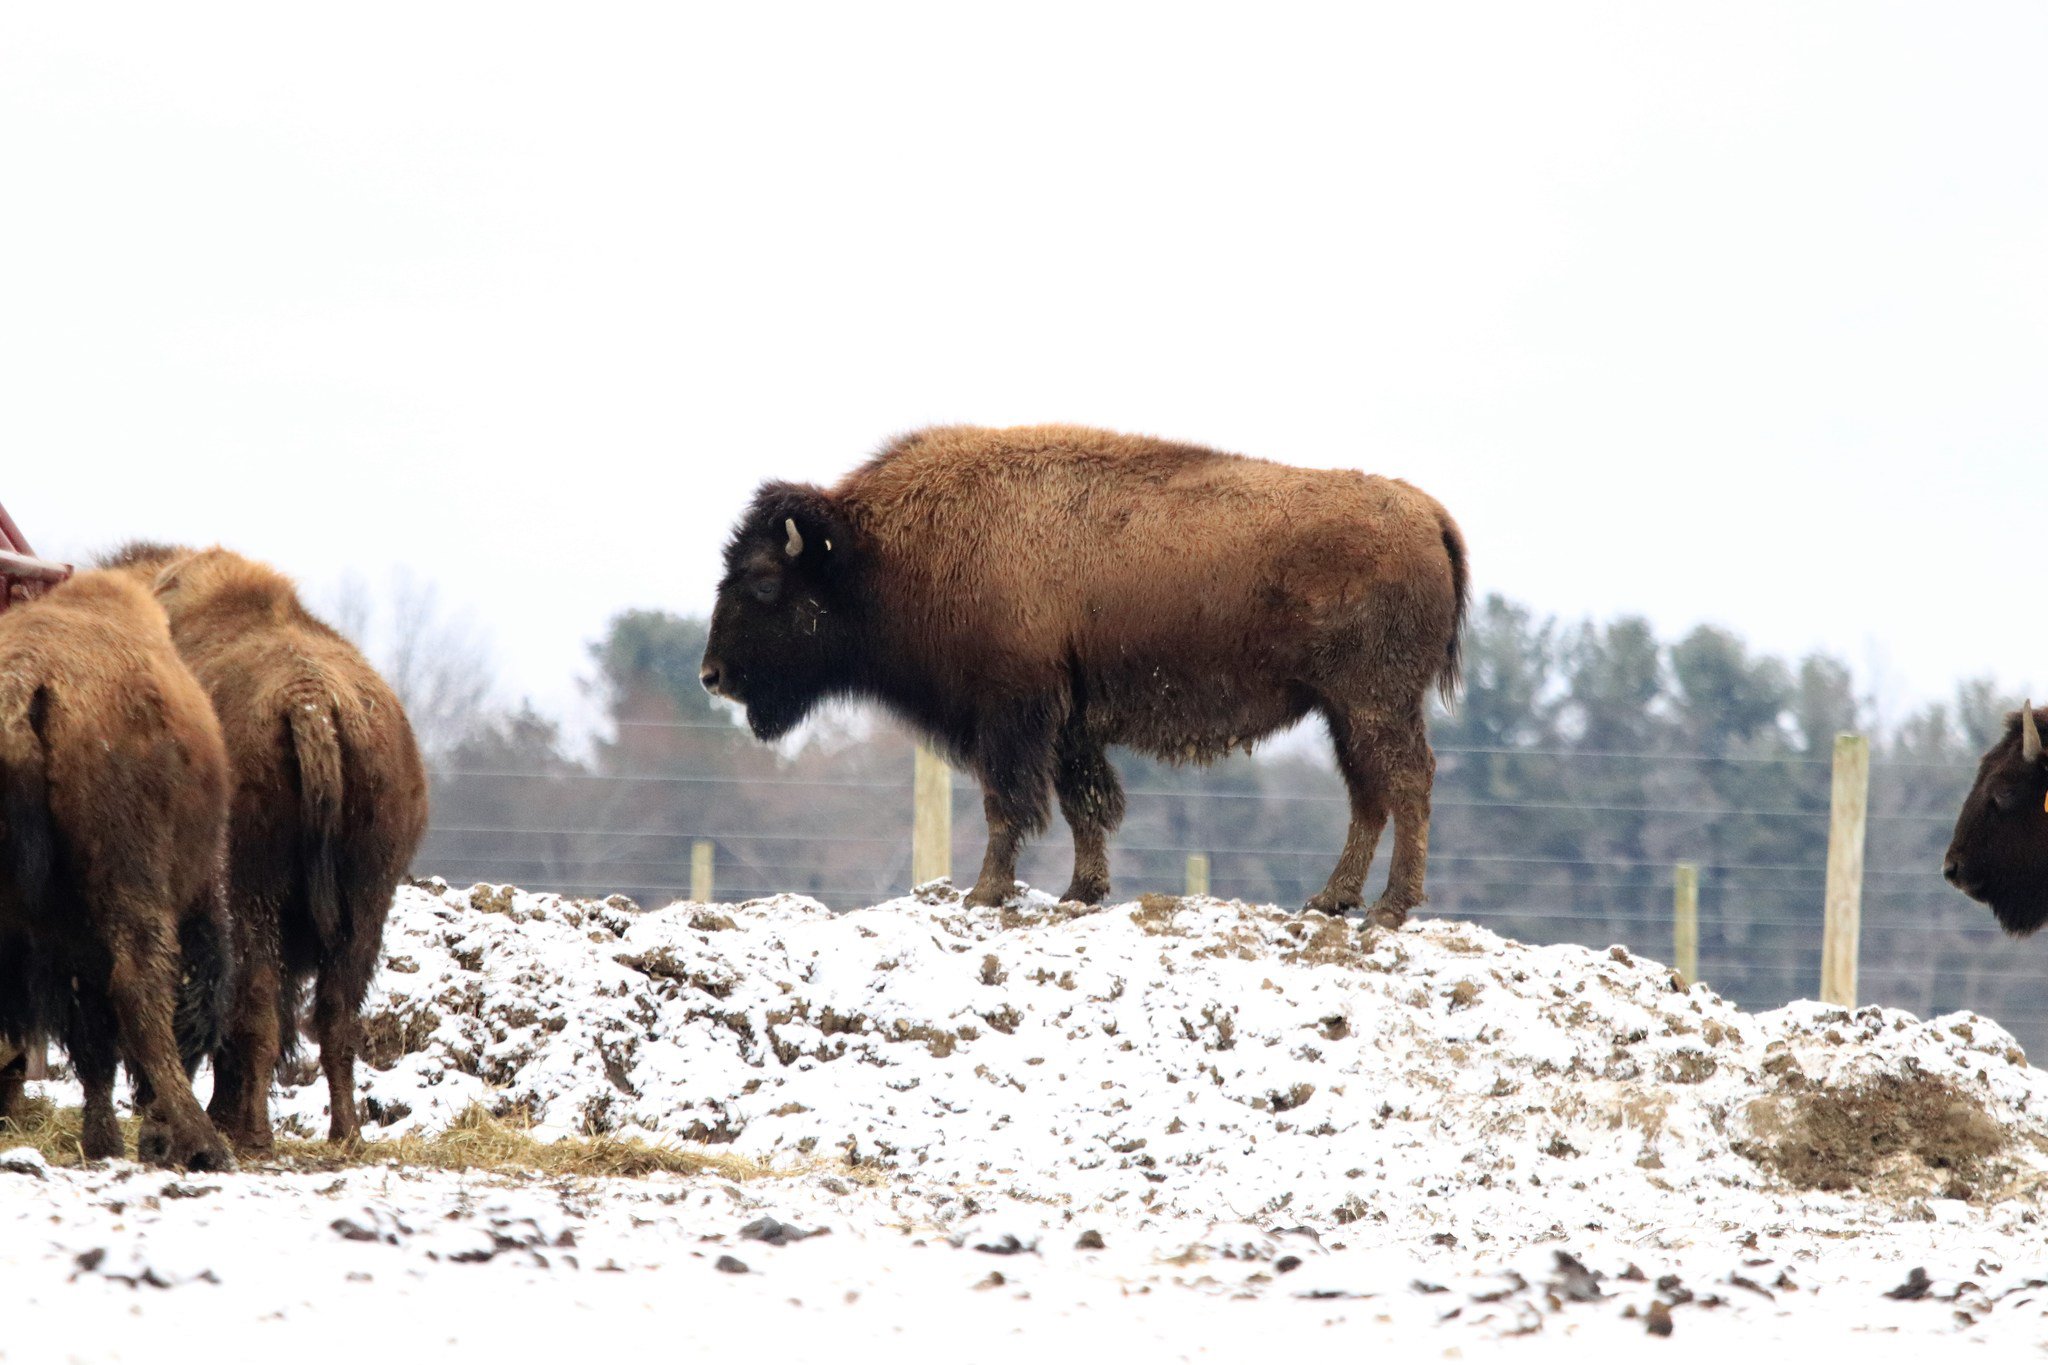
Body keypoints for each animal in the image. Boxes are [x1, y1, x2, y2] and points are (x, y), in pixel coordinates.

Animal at [0, 570, 236, 1169]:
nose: (156, 1140)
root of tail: (22, 685)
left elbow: (91, 1041)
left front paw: (101, 1142)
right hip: (131, 882)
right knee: (139, 986)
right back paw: (206, 1143)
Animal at [106, 546, 429, 1148]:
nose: (142, 1097)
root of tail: (311, 704)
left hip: (252, 894)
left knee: (255, 1003)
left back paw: (251, 1131)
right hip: (366, 901)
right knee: (333, 1015)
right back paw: (343, 1132)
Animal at [700, 424, 1468, 923]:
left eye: (764, 583)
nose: (712, 675)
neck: (876, 552)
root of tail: (1427, 511)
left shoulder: (1011, 713)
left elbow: (1008, 803)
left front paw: (984, 894)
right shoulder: (1069, 722)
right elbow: (1084, 804)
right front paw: (1081, 892)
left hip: (1373, 703)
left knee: (1407, 782)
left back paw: (1389, 908)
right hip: (1344, 712)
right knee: (1369, 793)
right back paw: (1332, 901)